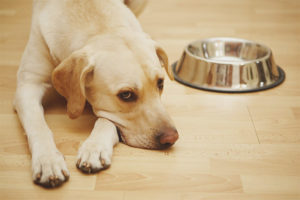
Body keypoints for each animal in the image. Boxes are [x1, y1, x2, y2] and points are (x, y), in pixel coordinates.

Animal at [14, 0, 178, 188]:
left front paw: (95, 148)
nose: (172, 137)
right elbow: (38, 126)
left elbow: (106, 121)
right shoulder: (28, 85)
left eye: (160, 83)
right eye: (126, 95)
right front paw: (48, 160)